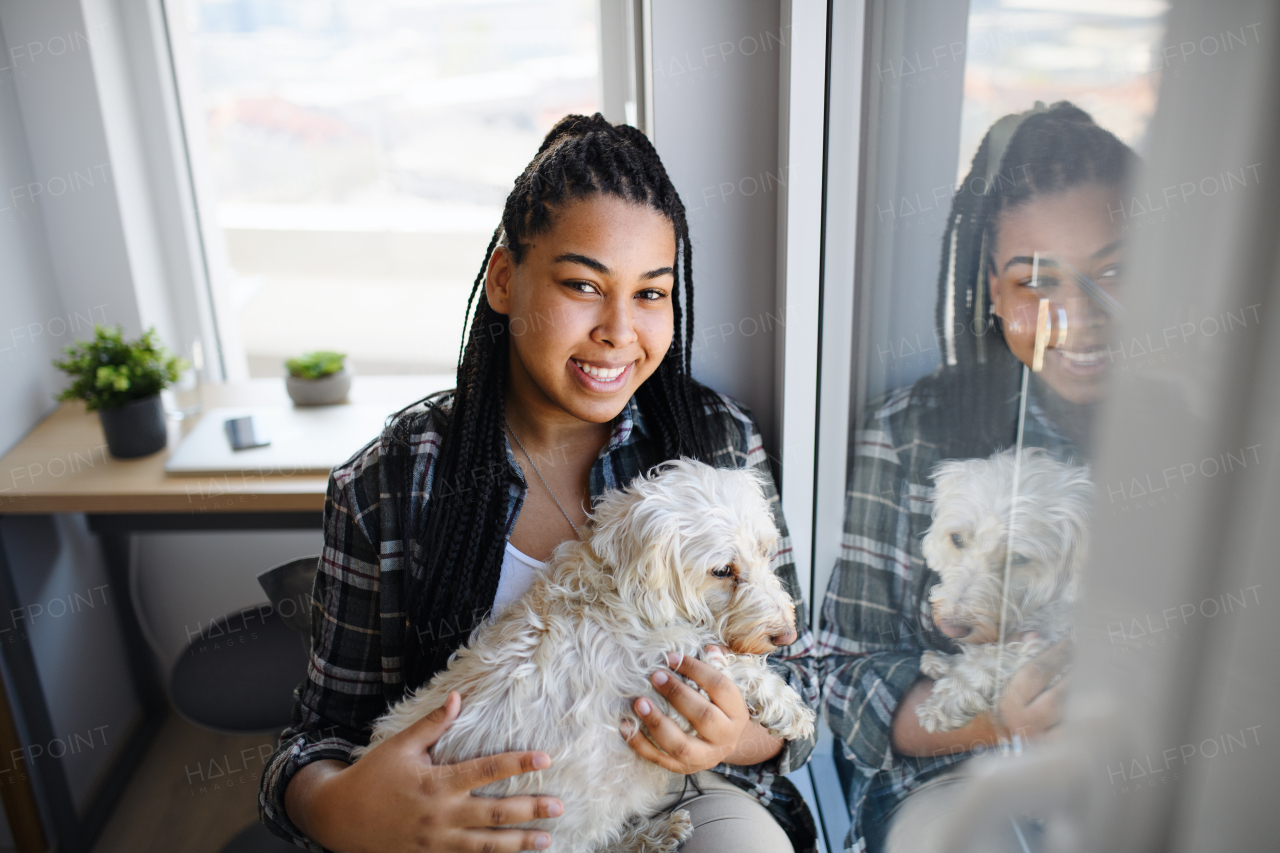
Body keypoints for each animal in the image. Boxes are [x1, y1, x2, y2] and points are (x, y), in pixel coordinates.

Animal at [353, 458, 808, 850]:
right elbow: (721, 660)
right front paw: (788, 706)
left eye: (765, 551)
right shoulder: (651, 694)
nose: (787, 635)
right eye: (722, 571)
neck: (620, 596)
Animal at [921, 445, 1090, 732]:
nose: (951, 627)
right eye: (957, 539)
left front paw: (947, 699)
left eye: (1018, 558)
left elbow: (994, 658)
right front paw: (945, 663)